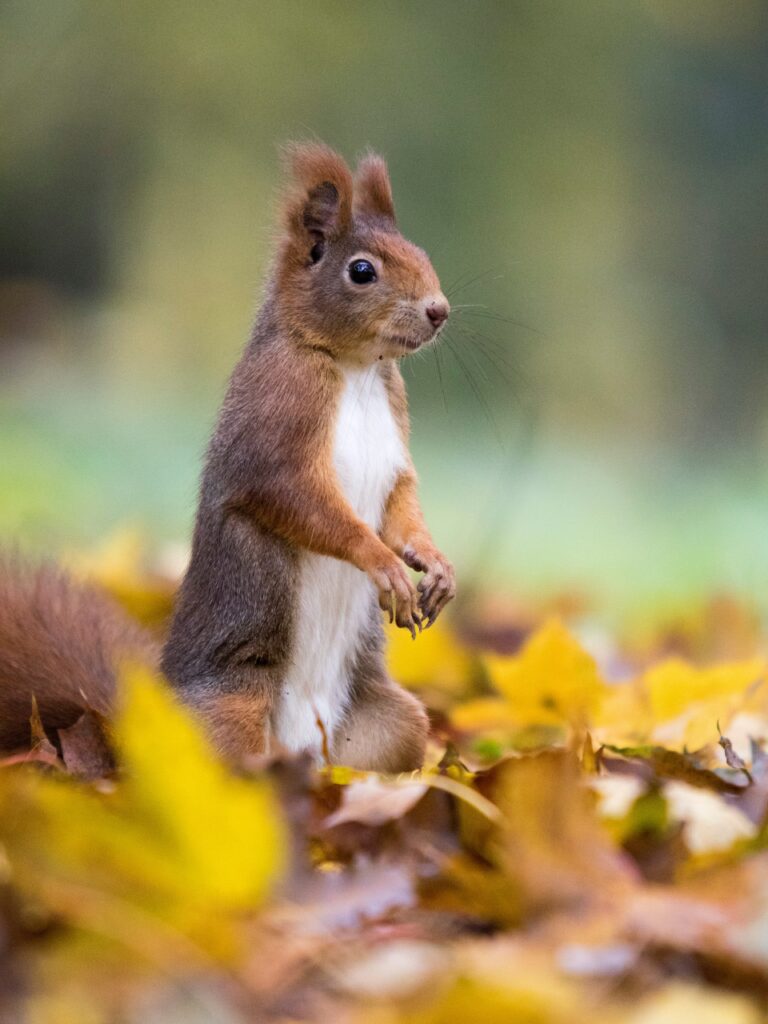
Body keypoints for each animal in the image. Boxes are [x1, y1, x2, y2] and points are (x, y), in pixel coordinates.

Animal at [0, 142, 455, 773]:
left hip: (392, 726)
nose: (439, 310)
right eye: (362, 270)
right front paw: (383, 563)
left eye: (422, 252)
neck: (357, 369)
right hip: (229, 717)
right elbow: (298, 500)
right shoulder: (276, 422)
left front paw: (433, 564)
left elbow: (403, 502)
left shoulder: (395, 438)